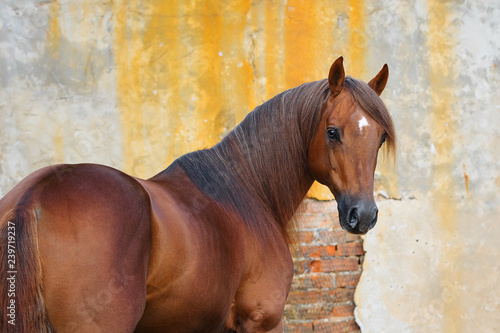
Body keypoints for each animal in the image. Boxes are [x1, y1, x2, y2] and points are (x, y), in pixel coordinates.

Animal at [0, 56, 394, 330]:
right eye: (332, 132)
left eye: (380, 138)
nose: (363, 215)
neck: (250, 192)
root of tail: (32, 199)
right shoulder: (262, 320)